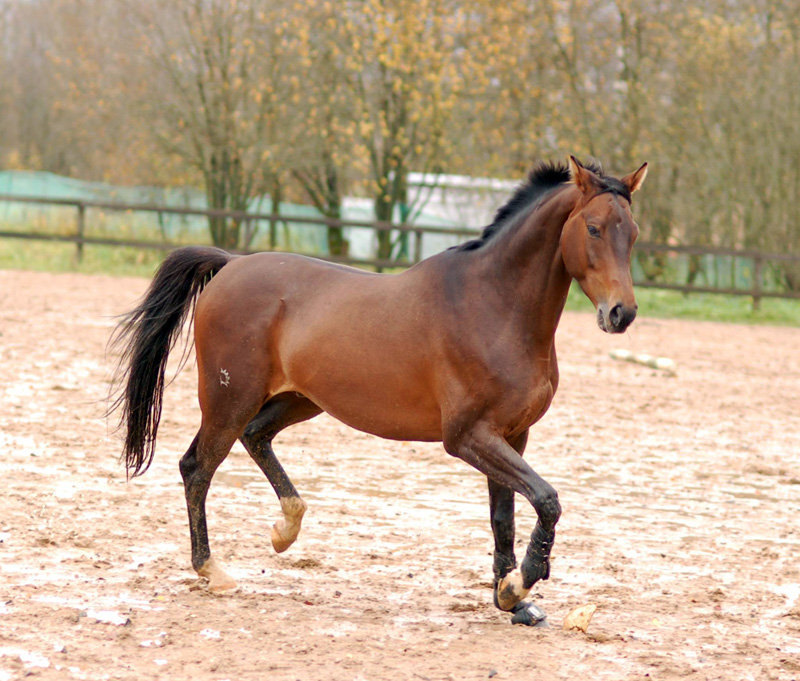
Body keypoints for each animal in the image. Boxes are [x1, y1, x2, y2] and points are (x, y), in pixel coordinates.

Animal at [112, 157, 648, 624]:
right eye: (594, 228)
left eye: (634, 234)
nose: (621, 314)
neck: (494, 307)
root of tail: (229, 265)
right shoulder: (468, 437)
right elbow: (547, 499)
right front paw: (519, 585)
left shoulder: (513, 435)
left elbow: (506, 515)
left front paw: (512, 601)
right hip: (230, 399)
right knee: (196, 468)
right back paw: (213, 570)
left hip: (300, 400)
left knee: (255, 437)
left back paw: (286, 529)